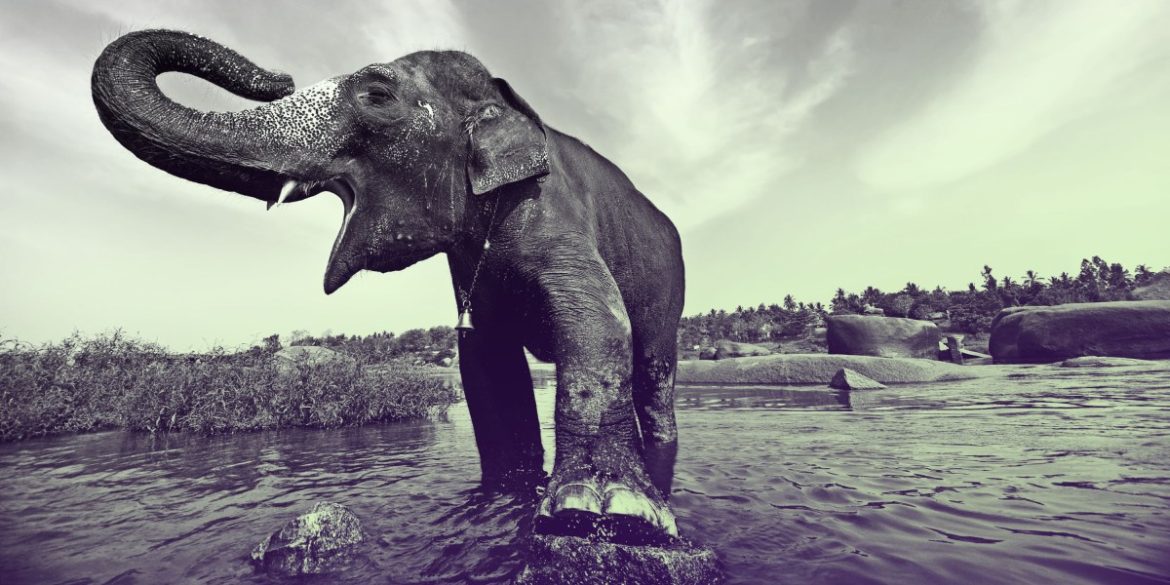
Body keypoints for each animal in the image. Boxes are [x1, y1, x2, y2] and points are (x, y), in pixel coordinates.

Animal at [92, 30, 685, 542]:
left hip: (669, 291)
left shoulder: (551, 208)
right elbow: (484, 360)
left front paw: (600, 511)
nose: (278, 78)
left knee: (654, 371)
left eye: (376, 95)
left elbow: (597, 319)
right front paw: (507, 496)